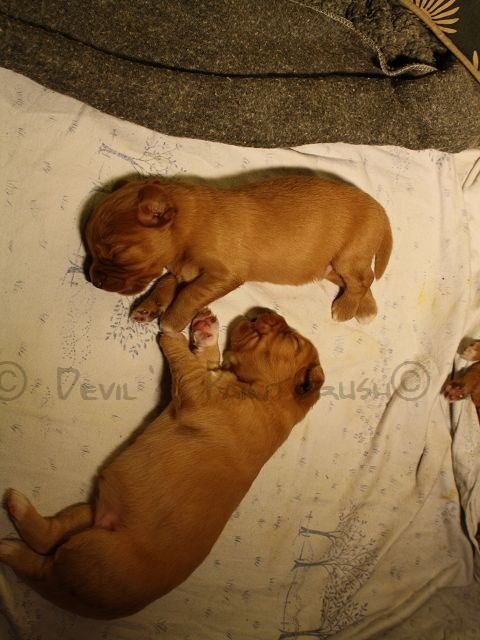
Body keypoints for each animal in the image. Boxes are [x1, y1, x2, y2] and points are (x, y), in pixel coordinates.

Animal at [0, 309, 324, 619]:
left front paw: (172, 332)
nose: (269, 313)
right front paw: (205, 328)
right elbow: (204, 358)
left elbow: (188, 364)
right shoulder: (207, 380)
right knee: (49, 537)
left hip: (92, 556)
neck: (268, 395)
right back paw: (18, 507)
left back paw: (8, 547)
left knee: (42, 567)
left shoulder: (197, 394)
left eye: (291, 339)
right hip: (88, 516)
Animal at [85, 175, 392, 332]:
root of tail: (380, 209)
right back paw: (366, 309)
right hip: (329, 267)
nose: (93, 280)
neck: (189, 224)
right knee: (361, 281)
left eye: (117, 252)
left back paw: (346, 308)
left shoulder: (223, 273)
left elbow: (188, 294)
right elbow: (165, 282)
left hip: (349, 255)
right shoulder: (182, 270)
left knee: (363, 279)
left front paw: (172, 321)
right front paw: (148, 307)